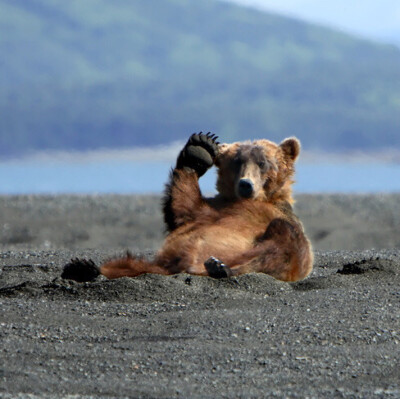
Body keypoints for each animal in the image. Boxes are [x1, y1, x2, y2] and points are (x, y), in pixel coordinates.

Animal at [61, 133, 312, 282]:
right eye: (237, 162)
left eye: (263, 163)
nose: (246, 184)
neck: (252, 202)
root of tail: (189, 267)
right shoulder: (210, 211)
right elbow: (184, 207)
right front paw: (199, 149)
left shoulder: (278, 217)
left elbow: (291, 246)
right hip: (156, 263)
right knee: (127, 264)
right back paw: (84, 268)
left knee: (281, 243)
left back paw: (221, 267)